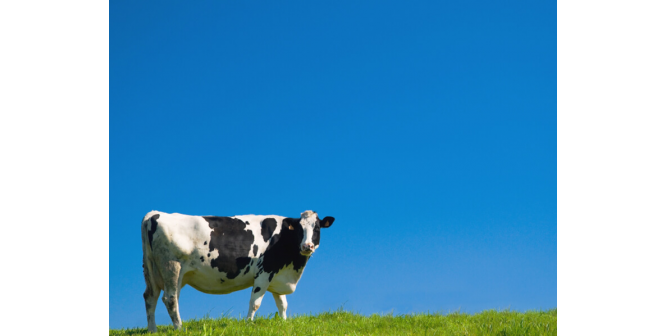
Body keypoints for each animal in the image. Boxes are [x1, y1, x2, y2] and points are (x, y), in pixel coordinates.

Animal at [140, 209, 334, 332]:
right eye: (300, 229)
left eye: (317, 228)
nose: (307, 246)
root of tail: (154, 214)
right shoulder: (264, 272)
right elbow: (255, 302)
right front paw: (249, 323)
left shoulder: (276, 274)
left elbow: (282, 304)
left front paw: (284, 323)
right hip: (172, 267)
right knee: (170, 299)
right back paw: (179, 328)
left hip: (152, 271)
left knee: (151, 297)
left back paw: (152, 330)